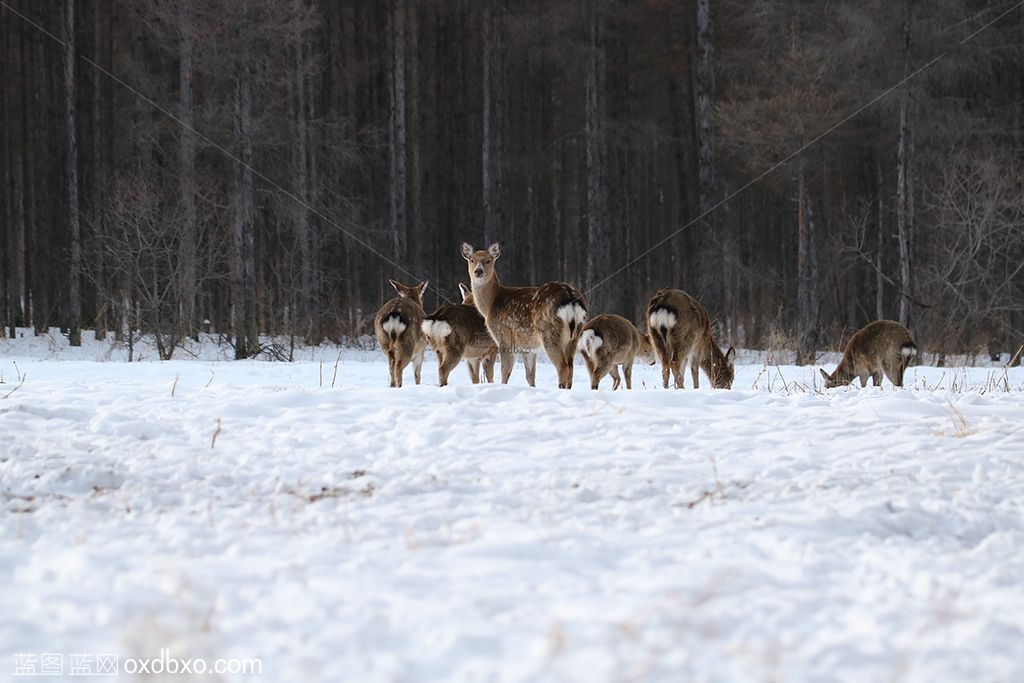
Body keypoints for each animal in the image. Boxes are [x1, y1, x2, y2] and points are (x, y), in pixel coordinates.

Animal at [462, 242, 585, 387]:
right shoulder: (527, 347)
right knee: (571, 367)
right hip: (576, 334)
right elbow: (530, 376)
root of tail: (571, 298)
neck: (490, 305)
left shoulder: (504, 337)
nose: (478, 271)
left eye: (488, 260)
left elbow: (505, 371)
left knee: (563, 367)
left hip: (549, 333)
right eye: (472, 260)